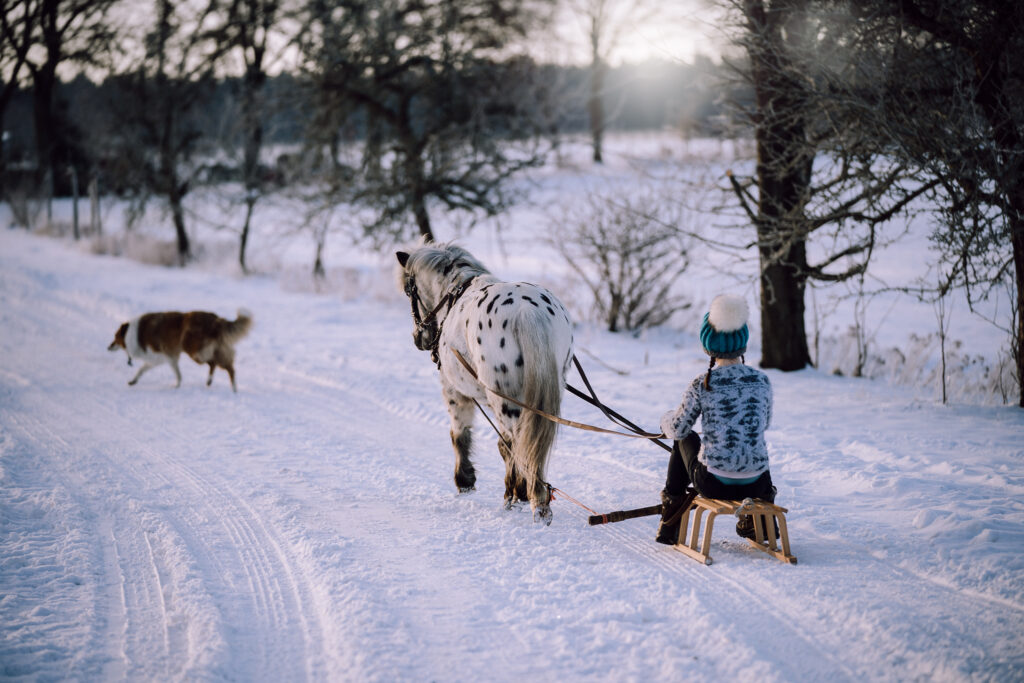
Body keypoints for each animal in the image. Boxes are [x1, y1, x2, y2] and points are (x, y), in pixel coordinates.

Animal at [108, 309, 253, 389]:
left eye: (115, 337)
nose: (108, 347)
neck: (132, 333)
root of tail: (216, 320)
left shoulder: (162, 356)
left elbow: (146, 368)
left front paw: (176, 385)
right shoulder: (166, 358)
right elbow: (144, 370)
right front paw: (133, 381)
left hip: (196, 351)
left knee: (216, 363)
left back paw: (226, 385)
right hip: (210, 350)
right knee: (223, 366)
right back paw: (223, 385)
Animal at [397, 242, 577, 528]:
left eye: (408, 291)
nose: (418, 338)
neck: (453, 294)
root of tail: (528, 312)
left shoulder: (453, 390)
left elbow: (460, 434)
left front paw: (465, 480)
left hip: (503, 400)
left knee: (517, 445)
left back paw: (529, 501)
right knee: (528, 444)